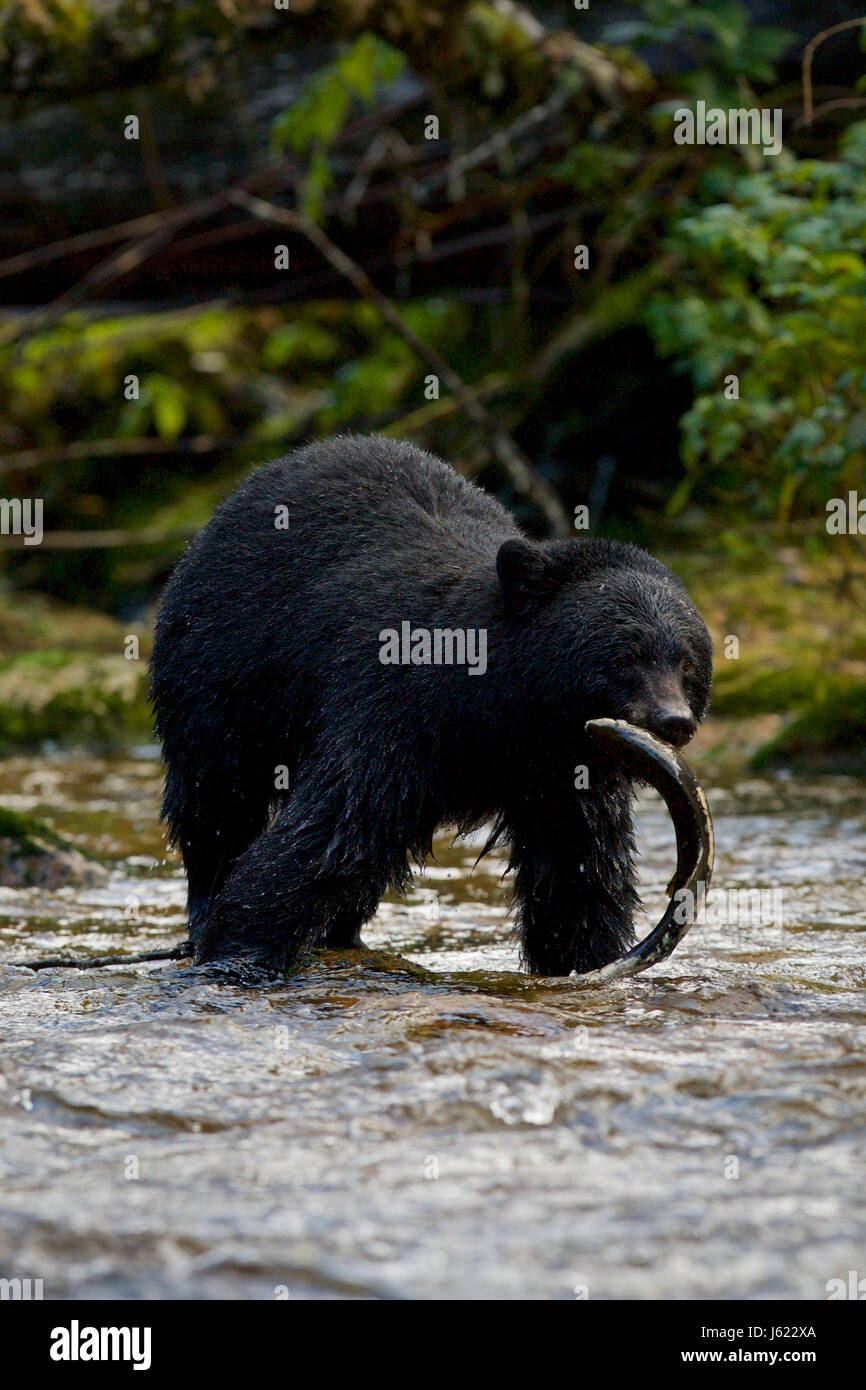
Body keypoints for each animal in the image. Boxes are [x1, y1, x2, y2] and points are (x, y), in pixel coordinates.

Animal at [150, 436, 711, 978]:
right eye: (625, 656)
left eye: (685, 661)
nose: (674, 722)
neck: (505, 712)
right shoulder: (394, 709)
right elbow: (336, 823)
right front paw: (239, 949)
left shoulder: (565, 777)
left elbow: (578, 868)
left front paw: (584, 957)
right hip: (221, 671)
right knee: (217, 796)